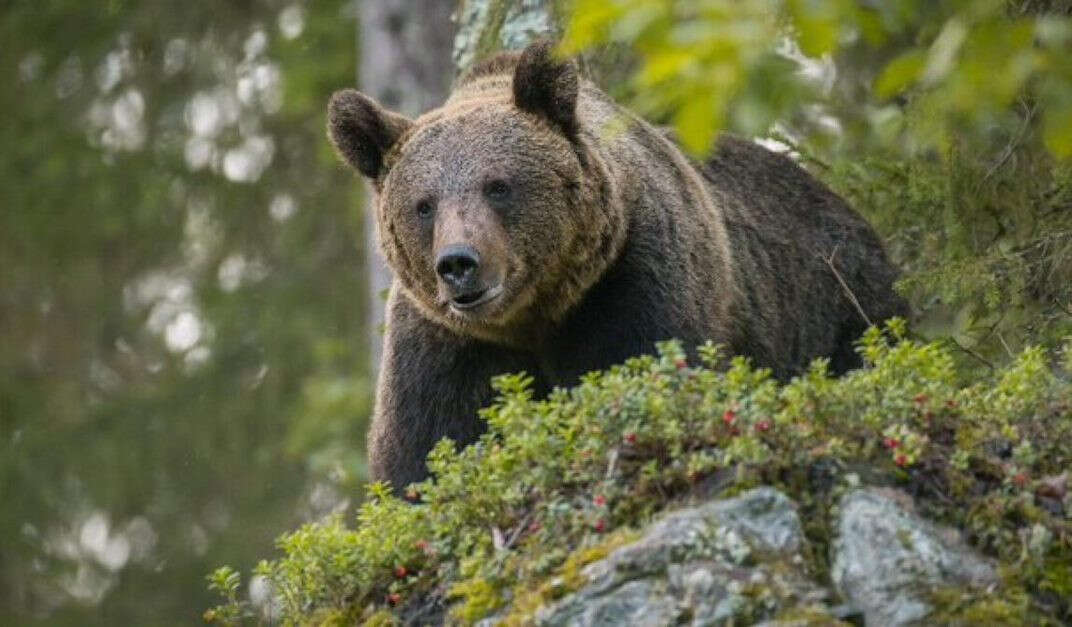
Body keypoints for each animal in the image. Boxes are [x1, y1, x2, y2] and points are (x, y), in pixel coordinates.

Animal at [325, 40, 904, 488]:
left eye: (498, 185)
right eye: (423, 205)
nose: (459, 264)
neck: (535, 316)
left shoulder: (635, 280)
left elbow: (643, 373)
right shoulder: (445, 343)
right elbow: (425, 452)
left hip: (839, 303)